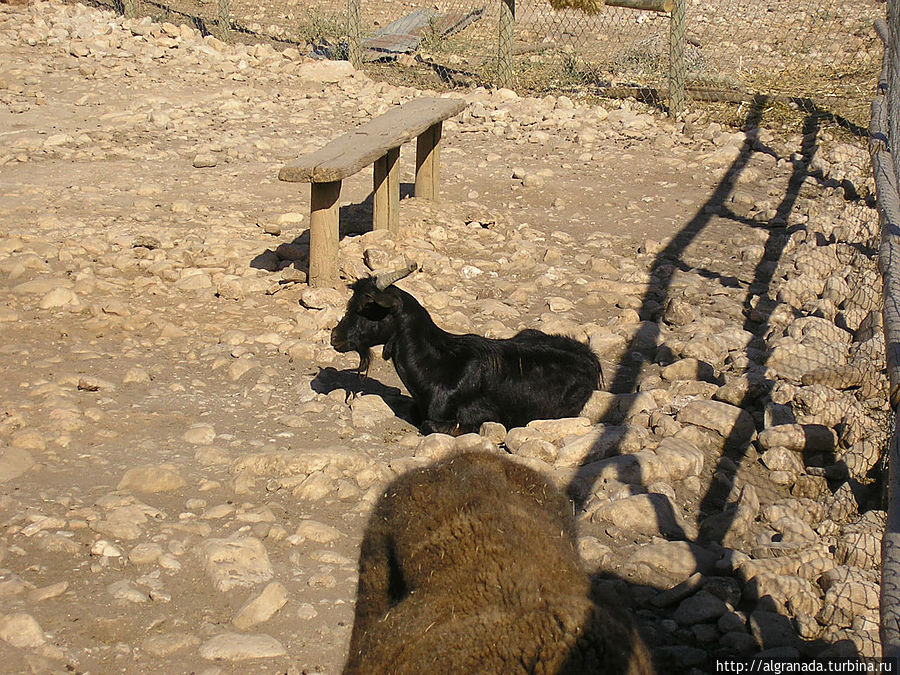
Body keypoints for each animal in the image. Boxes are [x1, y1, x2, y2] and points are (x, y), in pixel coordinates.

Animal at [330, 262, 604, 436]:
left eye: (368, 306)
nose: (335, 336)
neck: (437, 365)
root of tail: (590, 358)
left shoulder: (469, 418)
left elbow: (428, 425)